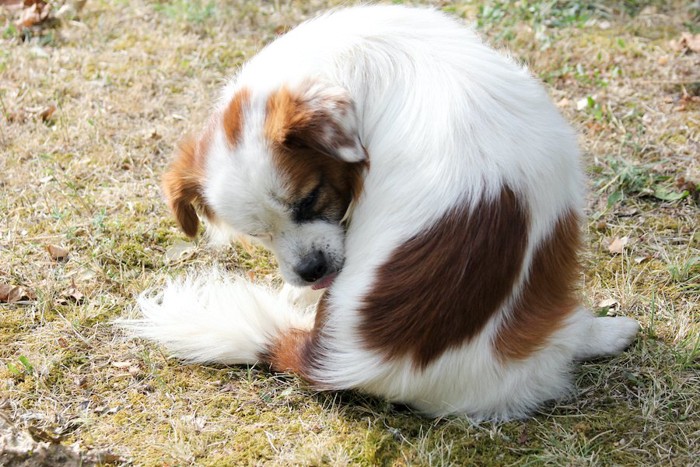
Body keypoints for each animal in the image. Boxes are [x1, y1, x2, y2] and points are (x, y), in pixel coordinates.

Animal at [129, 3, 644, 420]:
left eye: (310, 198)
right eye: (259, 234)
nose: (310, 272)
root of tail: (335, 359)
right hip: (544, 334)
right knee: (569, 338)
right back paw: (611, 332)